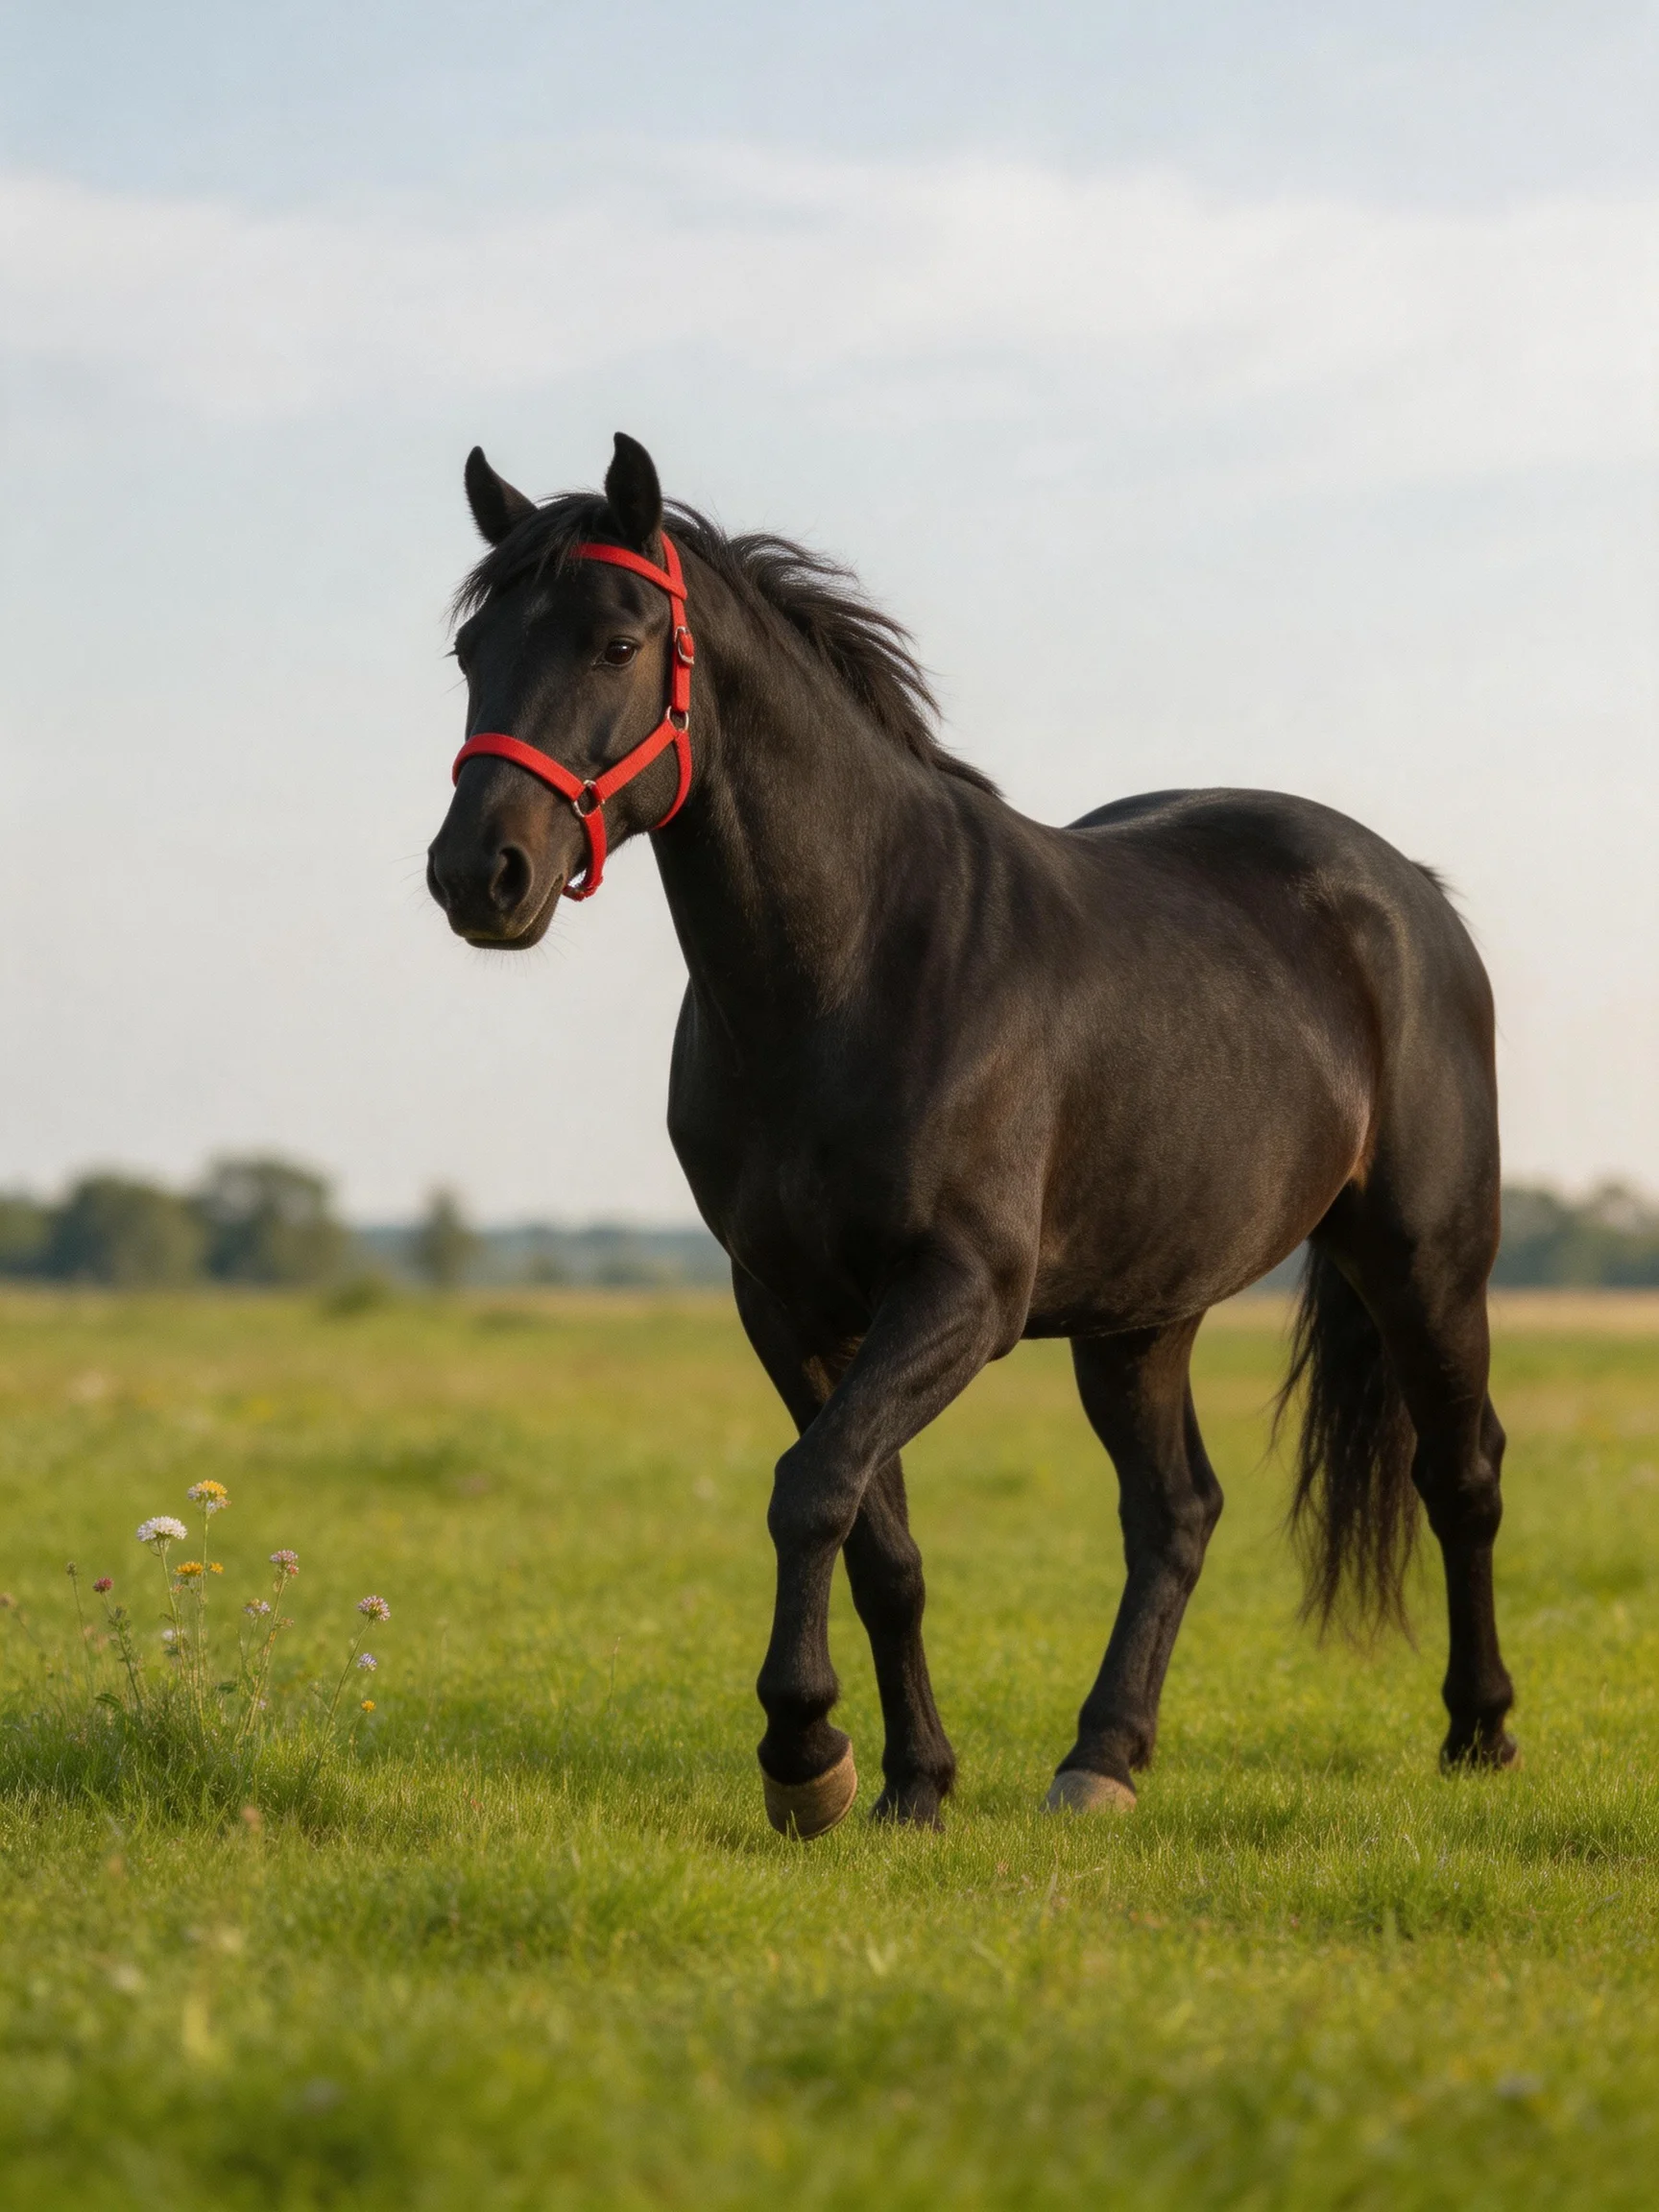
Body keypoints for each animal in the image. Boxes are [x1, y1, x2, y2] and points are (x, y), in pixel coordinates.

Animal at [427, 432, 1517, 1837]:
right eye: (472, 651)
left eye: (617, 643)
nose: (479, 874)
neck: (855, 968)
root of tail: (1410, 895)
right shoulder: (788, 1306)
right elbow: (874, 1536)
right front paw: (904, 1782)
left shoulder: (962, 1295)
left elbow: (812, 1489)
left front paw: (802, 1754)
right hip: (1140, 1317)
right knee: (1176, 1512)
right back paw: (1103, 1757)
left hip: (1424, 1264)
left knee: (1461, 1475)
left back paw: (1479, 1733)